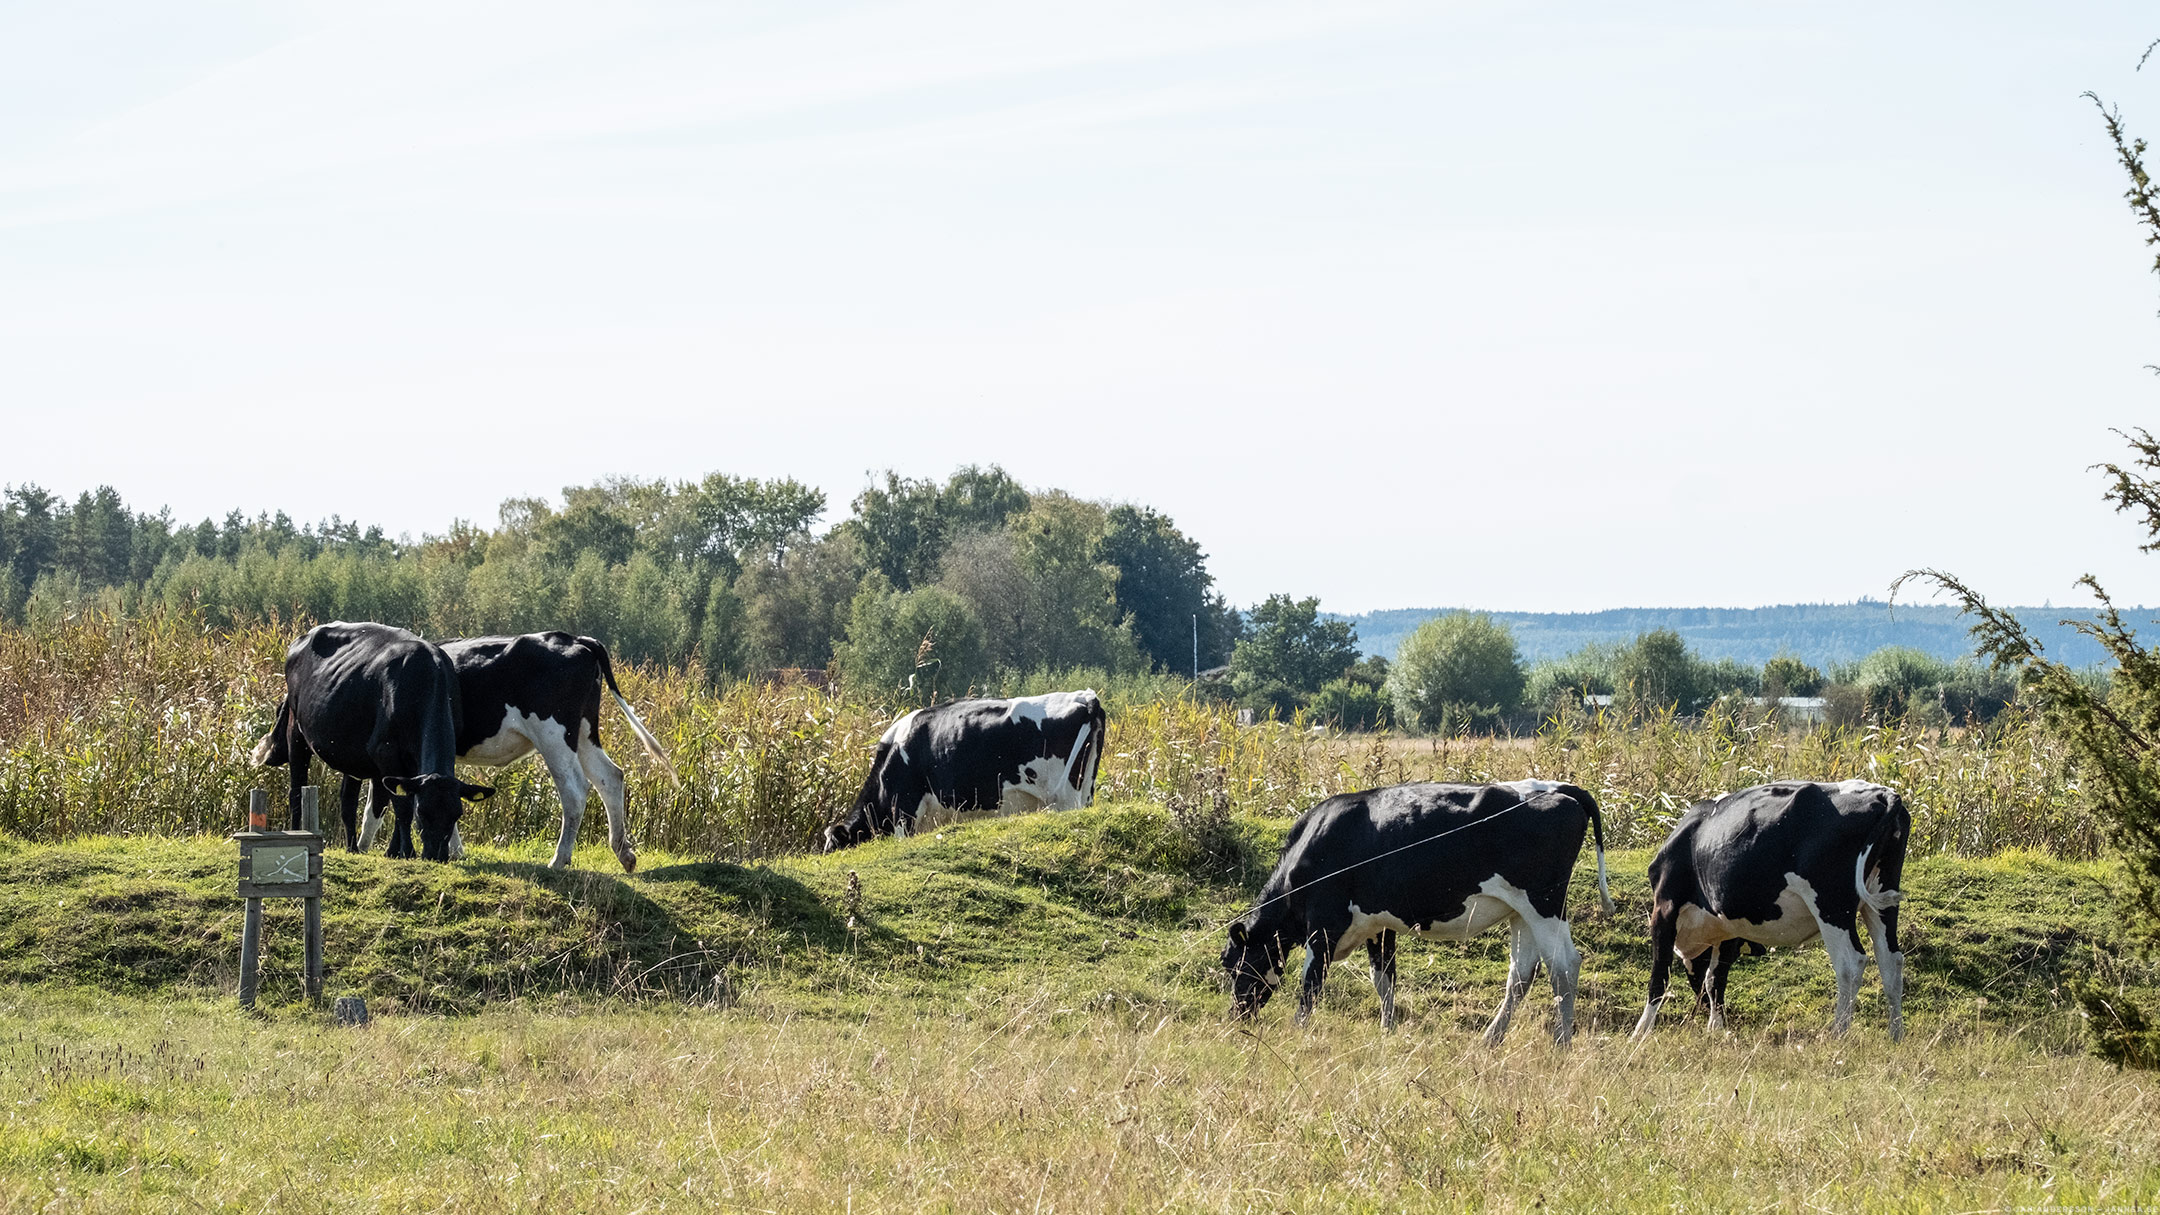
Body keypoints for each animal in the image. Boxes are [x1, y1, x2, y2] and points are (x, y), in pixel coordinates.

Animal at [250, 622, 494, 860]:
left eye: (457, 814)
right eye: (422, 812)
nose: (438, 856)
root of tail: (304, 636)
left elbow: (394, 800)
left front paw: (394, 851)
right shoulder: (385, 752)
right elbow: (402, 805)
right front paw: (407, 851)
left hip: (349, 752)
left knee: (347, 801)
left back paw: (352, 847)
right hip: (296, 732)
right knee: (296, 791)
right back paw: (296, 833)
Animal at [1218, 778, 1607, 1037]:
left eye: (1235, 965)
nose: (1237, 1015)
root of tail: (1558, 787)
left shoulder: (1324, 924)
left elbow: (1311, 983)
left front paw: (1298, 1029)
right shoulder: (1377, 924)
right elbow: (1383, 979)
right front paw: (1387, 1030)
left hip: (1544, 903)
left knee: (1564, 967)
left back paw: (1561, 1041)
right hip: (1520, 912)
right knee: (1522, 974)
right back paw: (1491, 1038)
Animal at [1632, 778, 1909, 1037]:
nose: (1699, 1008)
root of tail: (1882, 793)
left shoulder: (1664, 909)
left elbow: (1660, 974)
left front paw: (1641, 1031)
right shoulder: (1729, 928)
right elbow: (1715, 979)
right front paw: (1717, 1027)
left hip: (1831, 903)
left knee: (1850, 963)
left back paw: (1838, 1033)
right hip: (1882, 895)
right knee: (1891, 961)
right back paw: (1895, 1035)